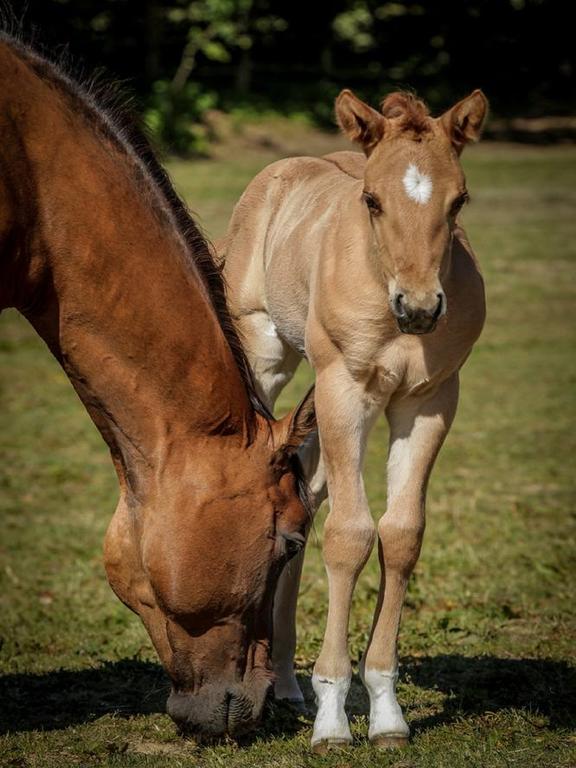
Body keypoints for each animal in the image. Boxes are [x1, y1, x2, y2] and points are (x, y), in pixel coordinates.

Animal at [223, 88, 488, 752]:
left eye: (459, 199)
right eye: (372, 199)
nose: (418, 308)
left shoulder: (429, 403)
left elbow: (400, 534)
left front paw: (387, 711)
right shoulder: (345, 392)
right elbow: (349, 536)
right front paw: (333, 717)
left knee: (308, 492)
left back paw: (285, 683)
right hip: (268, 357)